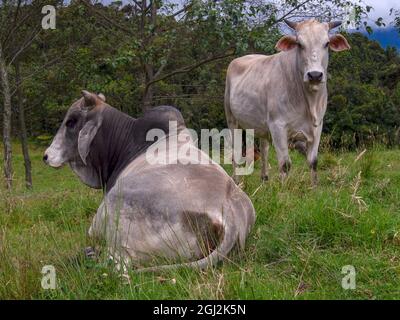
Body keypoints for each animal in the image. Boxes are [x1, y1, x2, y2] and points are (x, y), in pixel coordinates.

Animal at [43, 91, 255, 272]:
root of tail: (231, 213)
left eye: (71, 122)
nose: (46, 156)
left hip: (115, 207)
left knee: (119, 264)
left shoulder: (95, 226)